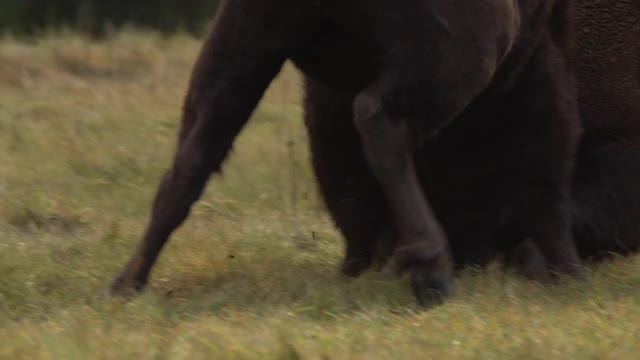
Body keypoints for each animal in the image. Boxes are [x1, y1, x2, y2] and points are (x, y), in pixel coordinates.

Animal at [111, 0, 584, 306]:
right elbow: (546, 174)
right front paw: (569, 274)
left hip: (247, 41)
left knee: (193, 156)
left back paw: (125, 283)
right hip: (468, 47)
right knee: (377, 116)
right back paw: (431, 268)